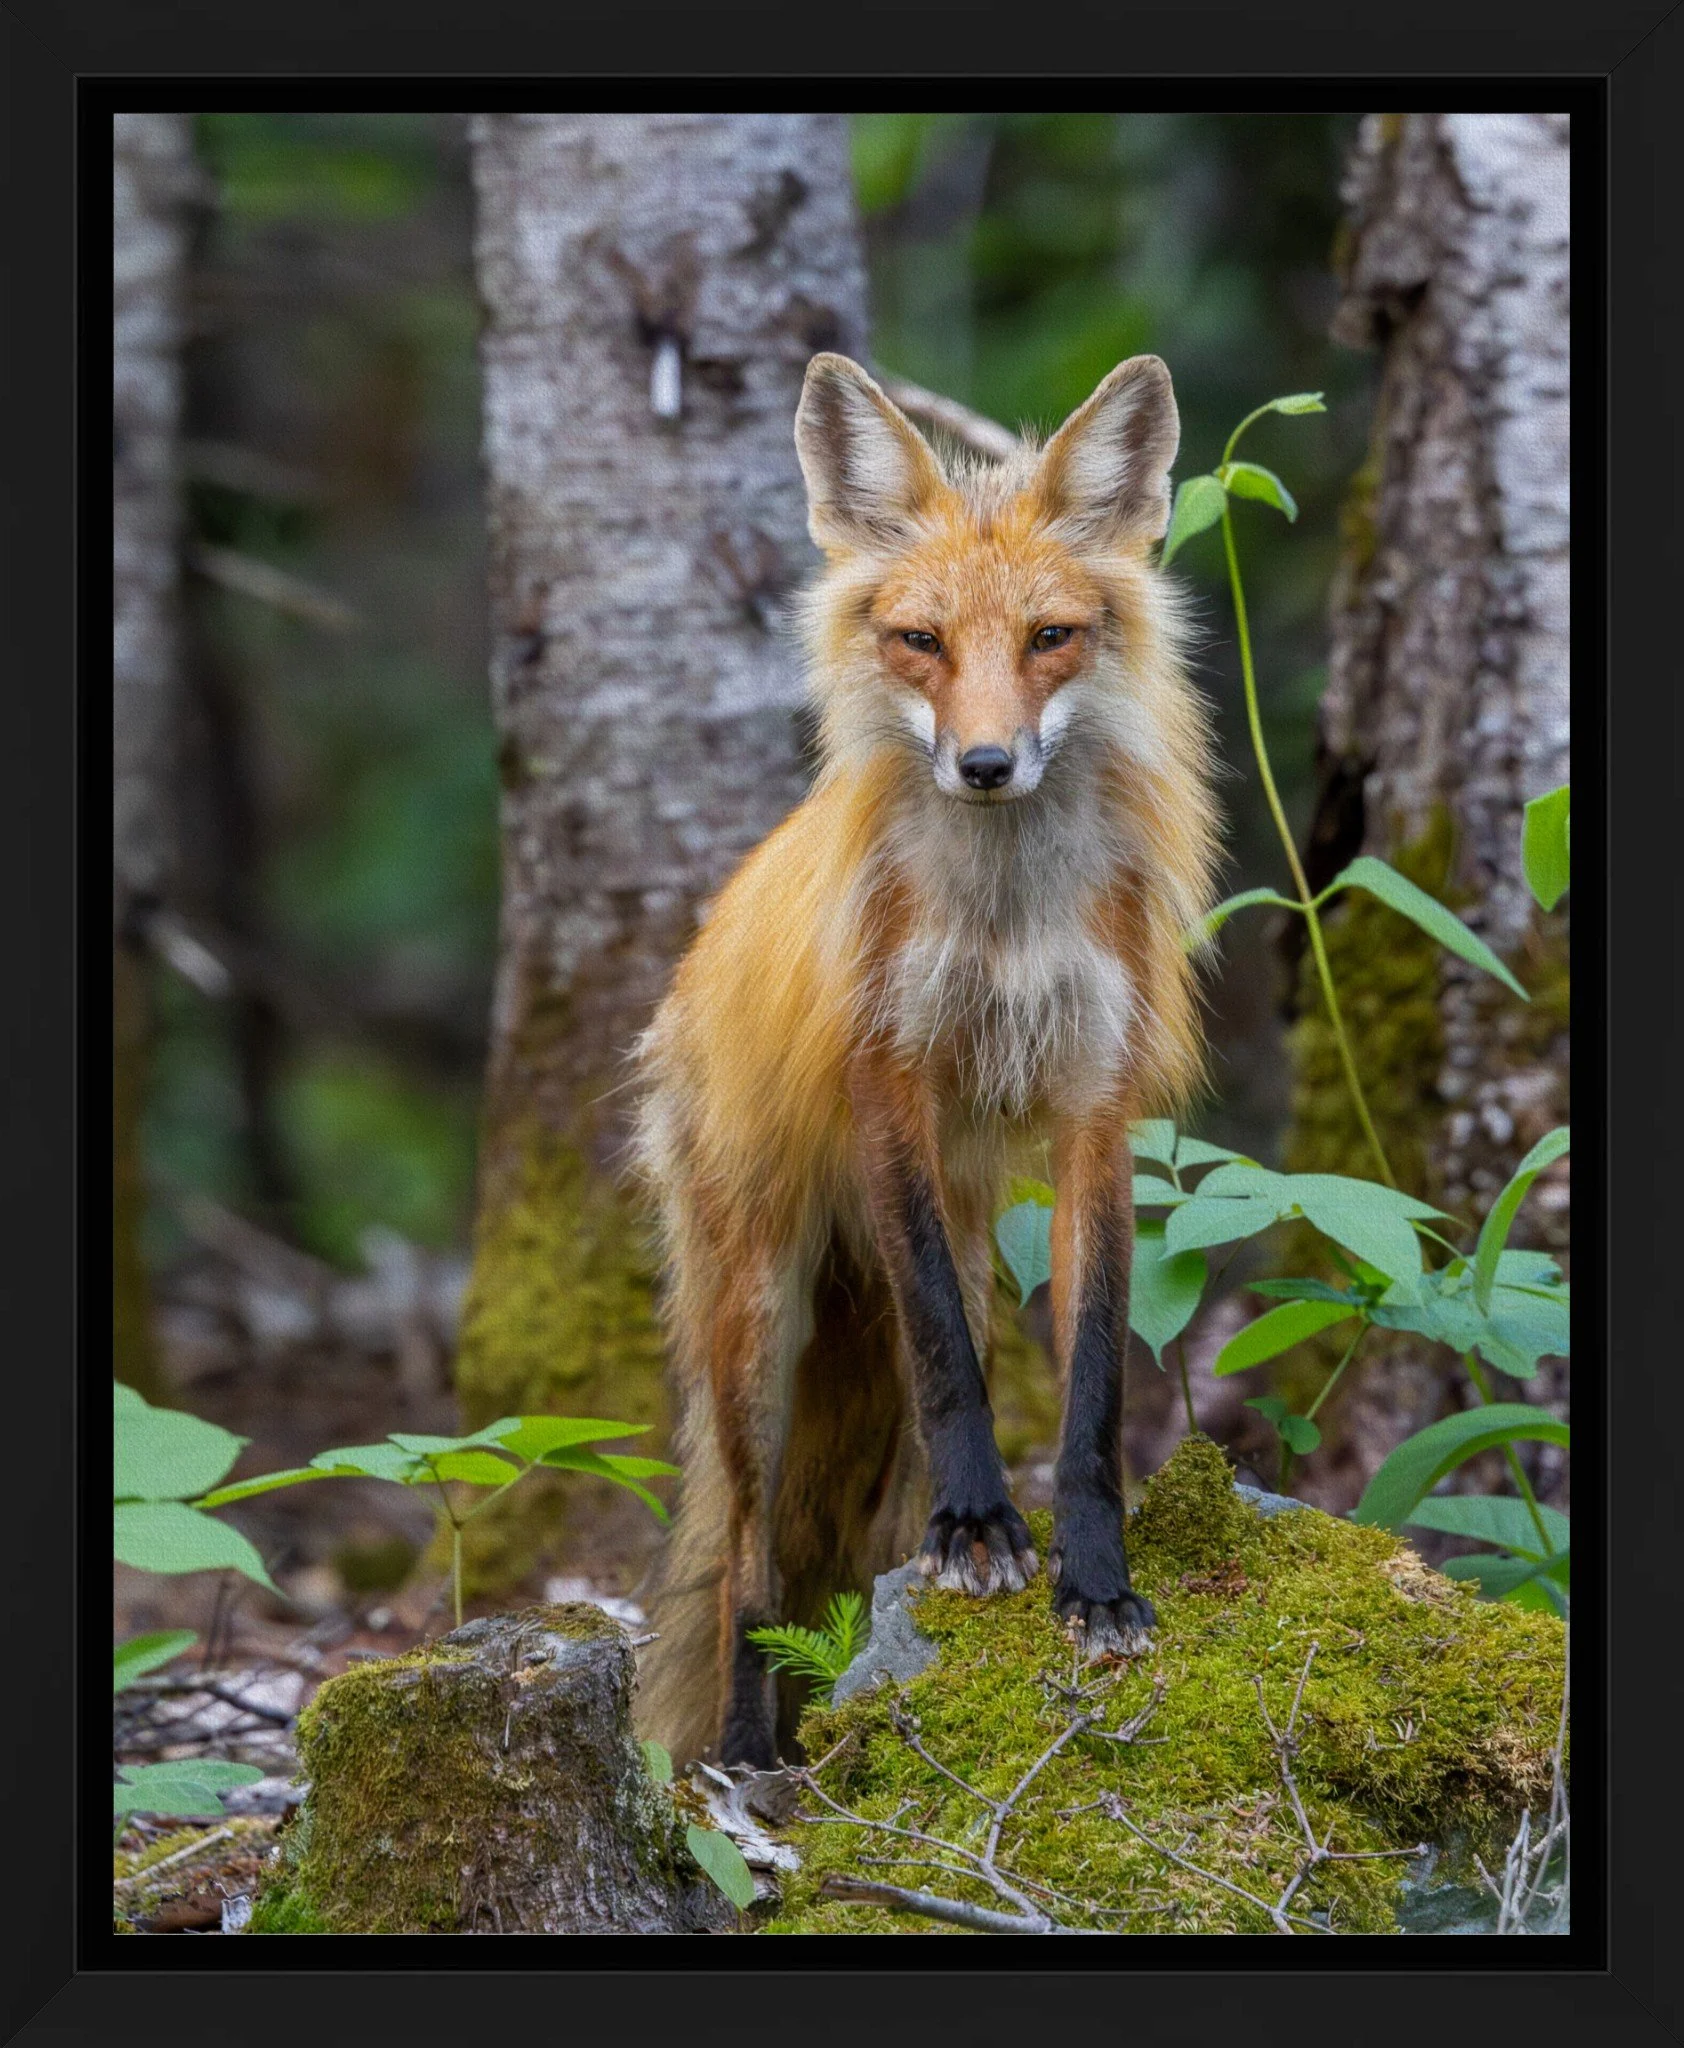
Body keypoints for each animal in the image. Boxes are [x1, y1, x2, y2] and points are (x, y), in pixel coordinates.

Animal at [633, 351, 1221, 1770]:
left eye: (1050, 637)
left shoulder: (1092, 1102)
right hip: (757, 1328)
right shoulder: (887, 1077)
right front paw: (980, 1531)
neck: (1003, 921)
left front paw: (1094, 1581)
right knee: (748, 1565)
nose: (987, 763)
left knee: (868, 1517)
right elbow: (950, 1359)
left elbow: (1095, 1384)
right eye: (922, 642)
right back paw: (750, 1758)